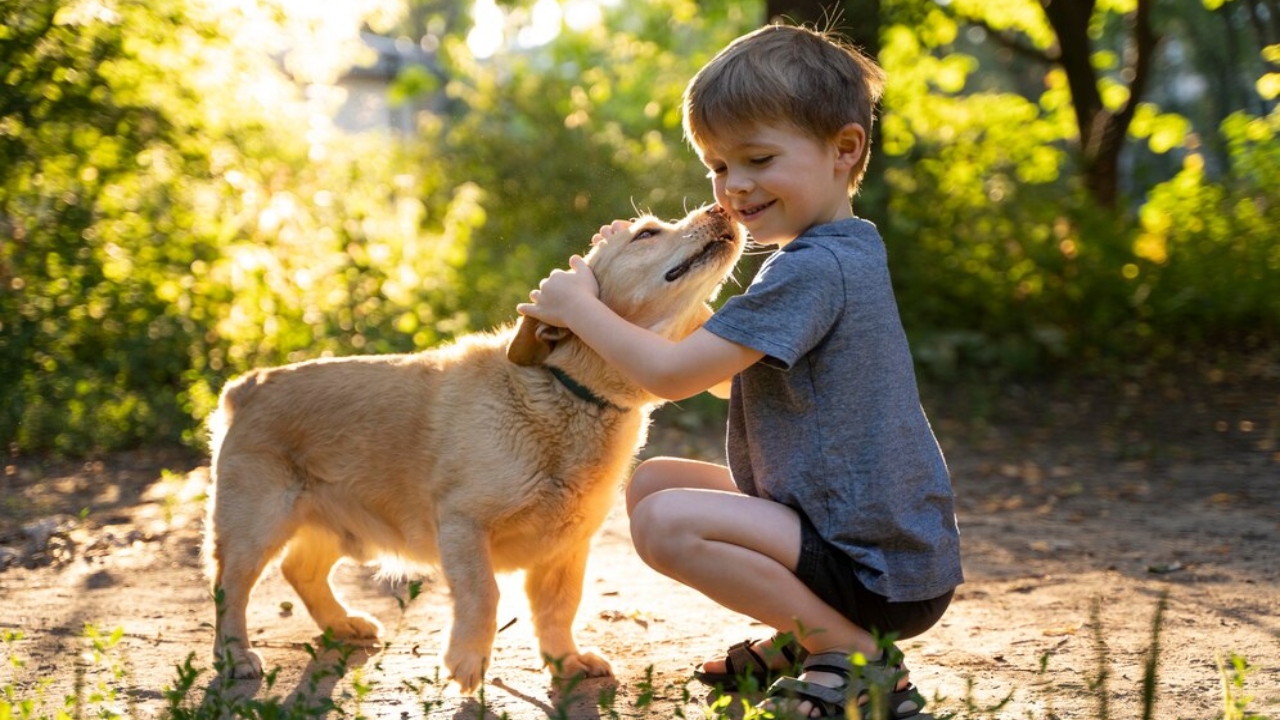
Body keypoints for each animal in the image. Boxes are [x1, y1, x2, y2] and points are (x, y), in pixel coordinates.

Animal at [203, 202, 747, 691]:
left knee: (301, 571)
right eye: (646, 233)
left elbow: (559, 609)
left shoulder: (567, 547)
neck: (568, 393)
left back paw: (342, 624)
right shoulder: (463, 526)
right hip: (255, 528)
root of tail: (248, 384)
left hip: (334, 527)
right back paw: (236, 656)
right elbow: (484, 597)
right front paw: (467, 660)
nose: (723, 208)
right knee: (229, 590)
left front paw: (565, 662)